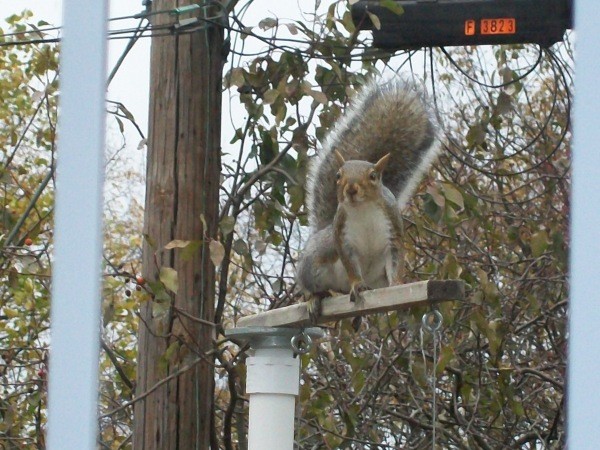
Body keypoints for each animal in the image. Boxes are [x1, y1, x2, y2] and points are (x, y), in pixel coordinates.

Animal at [296, 76, 440, 316]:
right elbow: (352, 266)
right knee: (311, 286)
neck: (363, 210)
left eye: (373, 176)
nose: (351, 189)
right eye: (338, 175)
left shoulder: (392, 235)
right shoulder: (344, 239)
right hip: (314, 263)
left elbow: (395, 262)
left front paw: (397, 284)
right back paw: (313, 299)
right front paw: (356, 283)